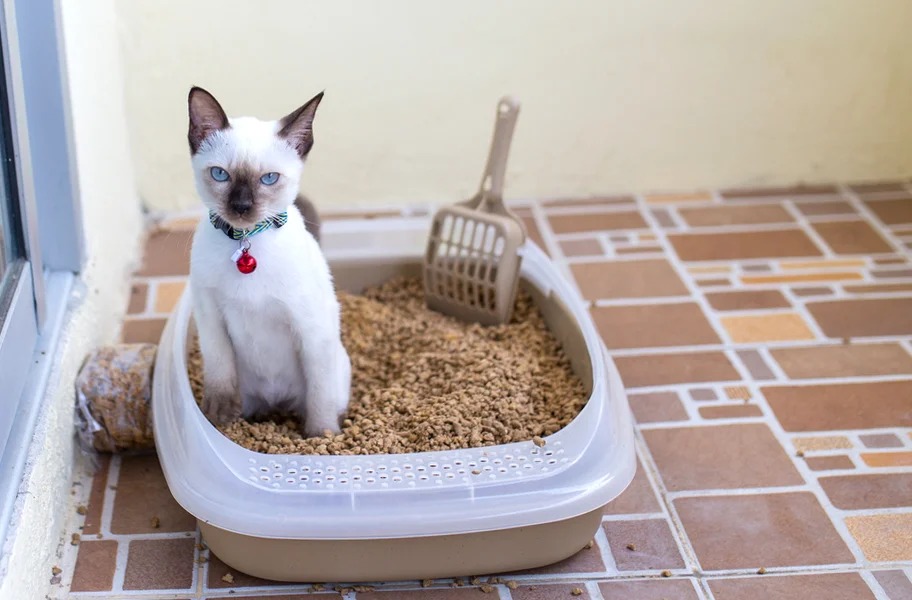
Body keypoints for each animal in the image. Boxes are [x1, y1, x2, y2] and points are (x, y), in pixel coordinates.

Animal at [187, 85, 350, 436]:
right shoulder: (210, 316)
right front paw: (218, 417)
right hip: (250, 393)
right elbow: (220, 372)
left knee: (324, 397)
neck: (246, 240)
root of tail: (276, 404)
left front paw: (320, 437)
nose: (241, 207)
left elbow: (320, 397)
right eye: (220, 174)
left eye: (269, 179)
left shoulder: (310, 327)